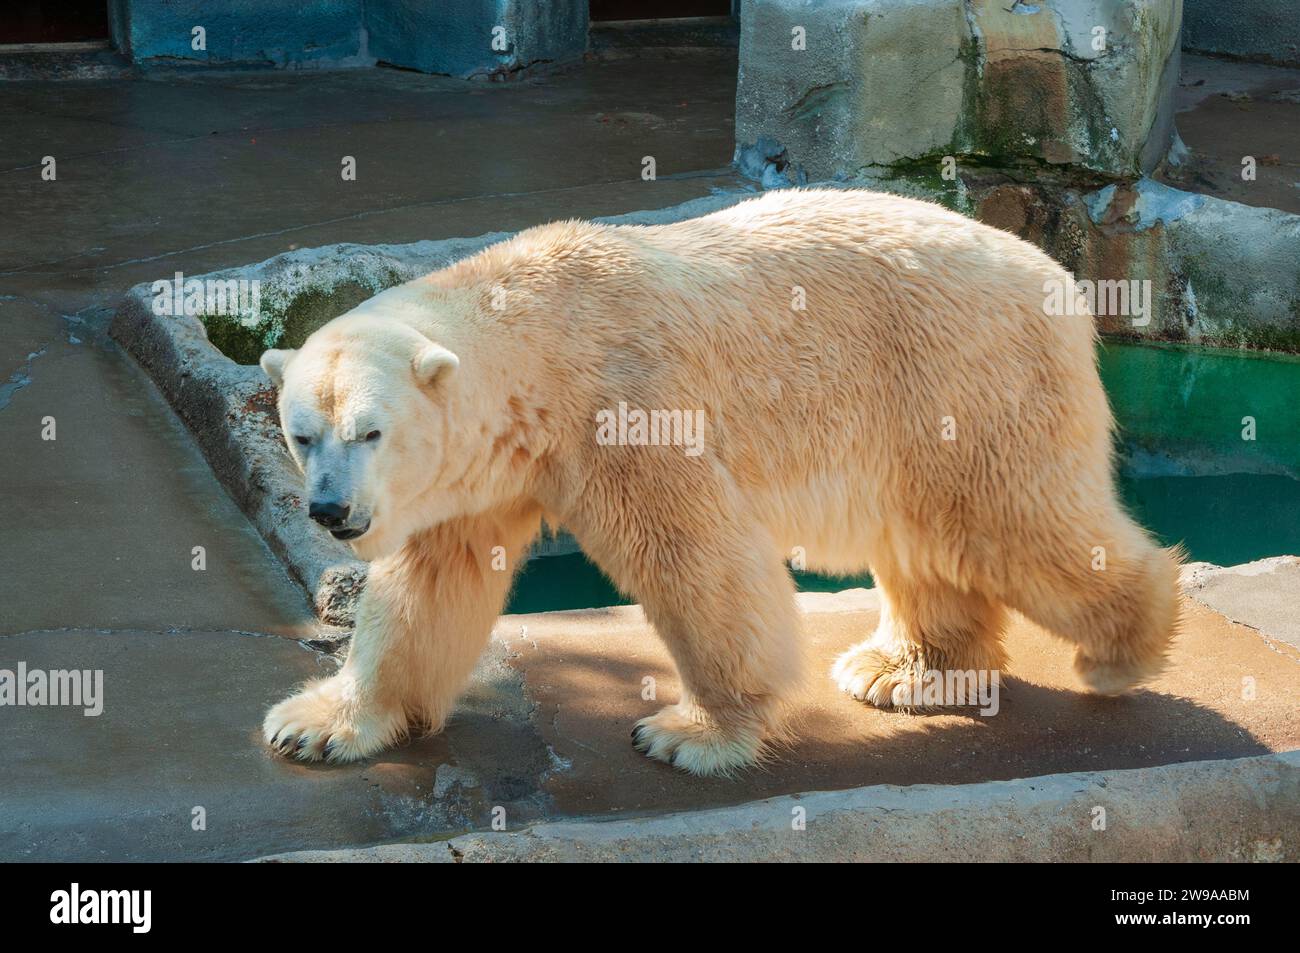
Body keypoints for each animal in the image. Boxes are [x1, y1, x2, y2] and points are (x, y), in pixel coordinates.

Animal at [258, 185, 1185, 774]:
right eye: (303, 433)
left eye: (370, 430)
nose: (331, 510)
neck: (542, 340)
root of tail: (1055, 274)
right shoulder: (483, 472)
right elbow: (429, 586)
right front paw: (318, 724)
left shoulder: (627, 409)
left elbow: (697, 556)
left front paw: (690, 733)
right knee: (930, 539)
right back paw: (905, 668)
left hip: (966, 375)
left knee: (1019, 522)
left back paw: (1122, 651)